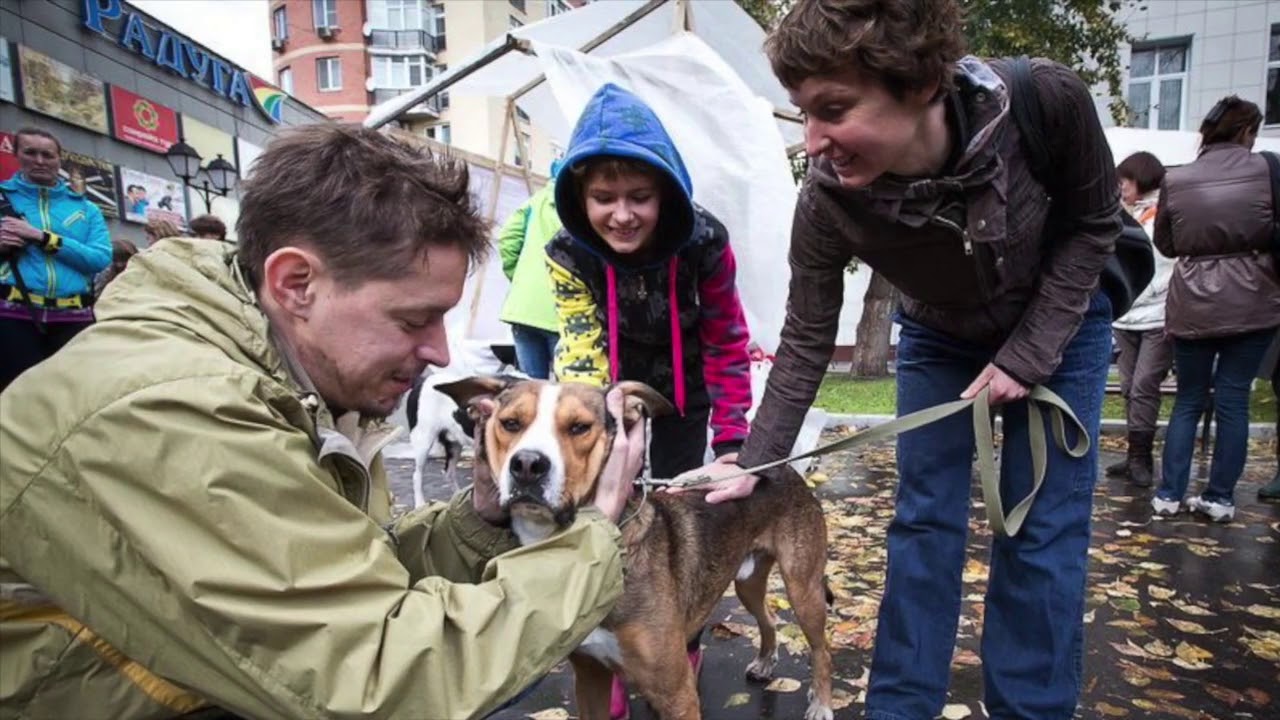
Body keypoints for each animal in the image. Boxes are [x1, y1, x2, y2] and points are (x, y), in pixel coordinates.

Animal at [440, 376, 834, 717]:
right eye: (510, 423)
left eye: (579, 427)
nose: (527, 464)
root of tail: (784, 470)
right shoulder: (590, 678)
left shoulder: (677, 693)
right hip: (746, 581)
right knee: (768, 615)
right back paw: (766, 661)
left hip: (803, 589)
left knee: (821, 647)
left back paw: (821, 702)